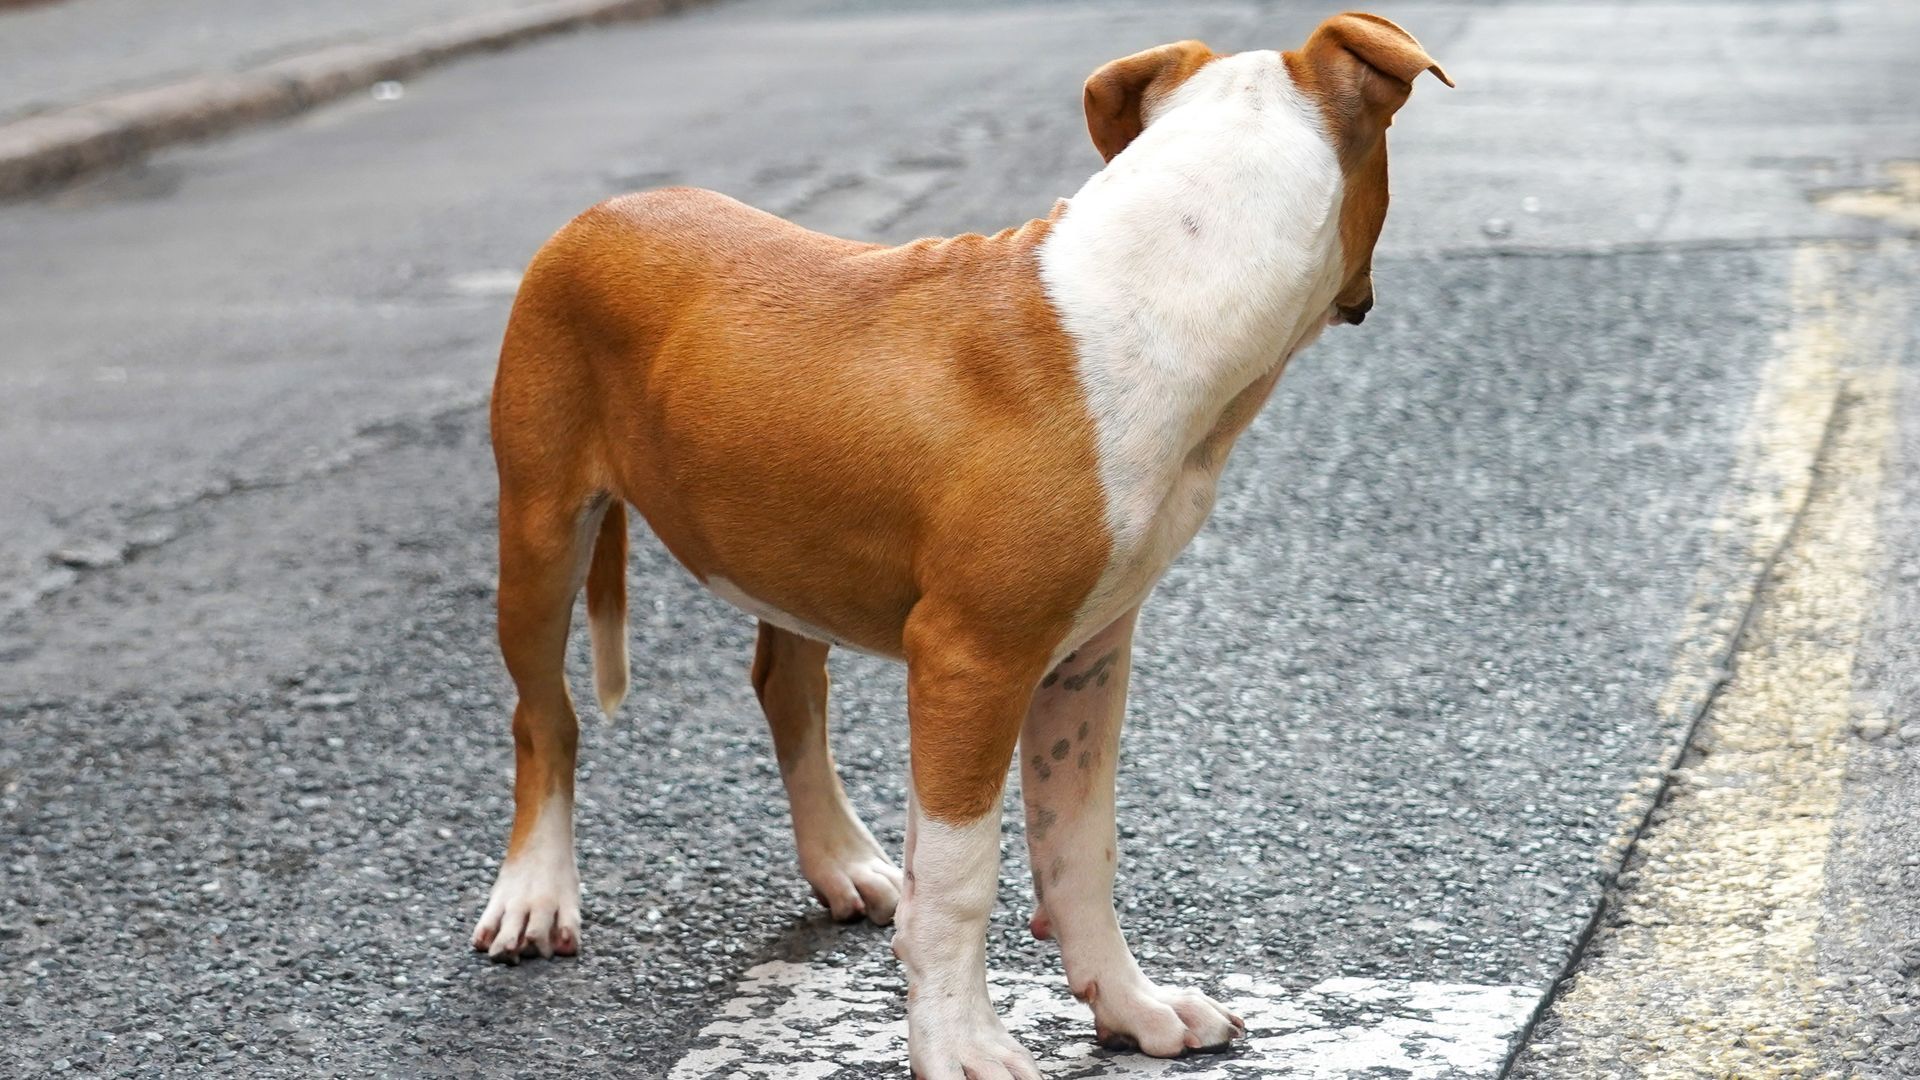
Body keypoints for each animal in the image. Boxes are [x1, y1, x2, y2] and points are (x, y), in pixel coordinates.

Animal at [471, 12, 1449, 1076]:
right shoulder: (972, 663)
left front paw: (1132, 1005)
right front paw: (963, 1044)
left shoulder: (1086, 656)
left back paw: (842, 862)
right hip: (541, 526)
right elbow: (959, 878)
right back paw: (535, 894)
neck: (1175, 274)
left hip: (784, 549)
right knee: (544, 716)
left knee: (787, 687)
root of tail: (603, 212)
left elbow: (1078, 848)